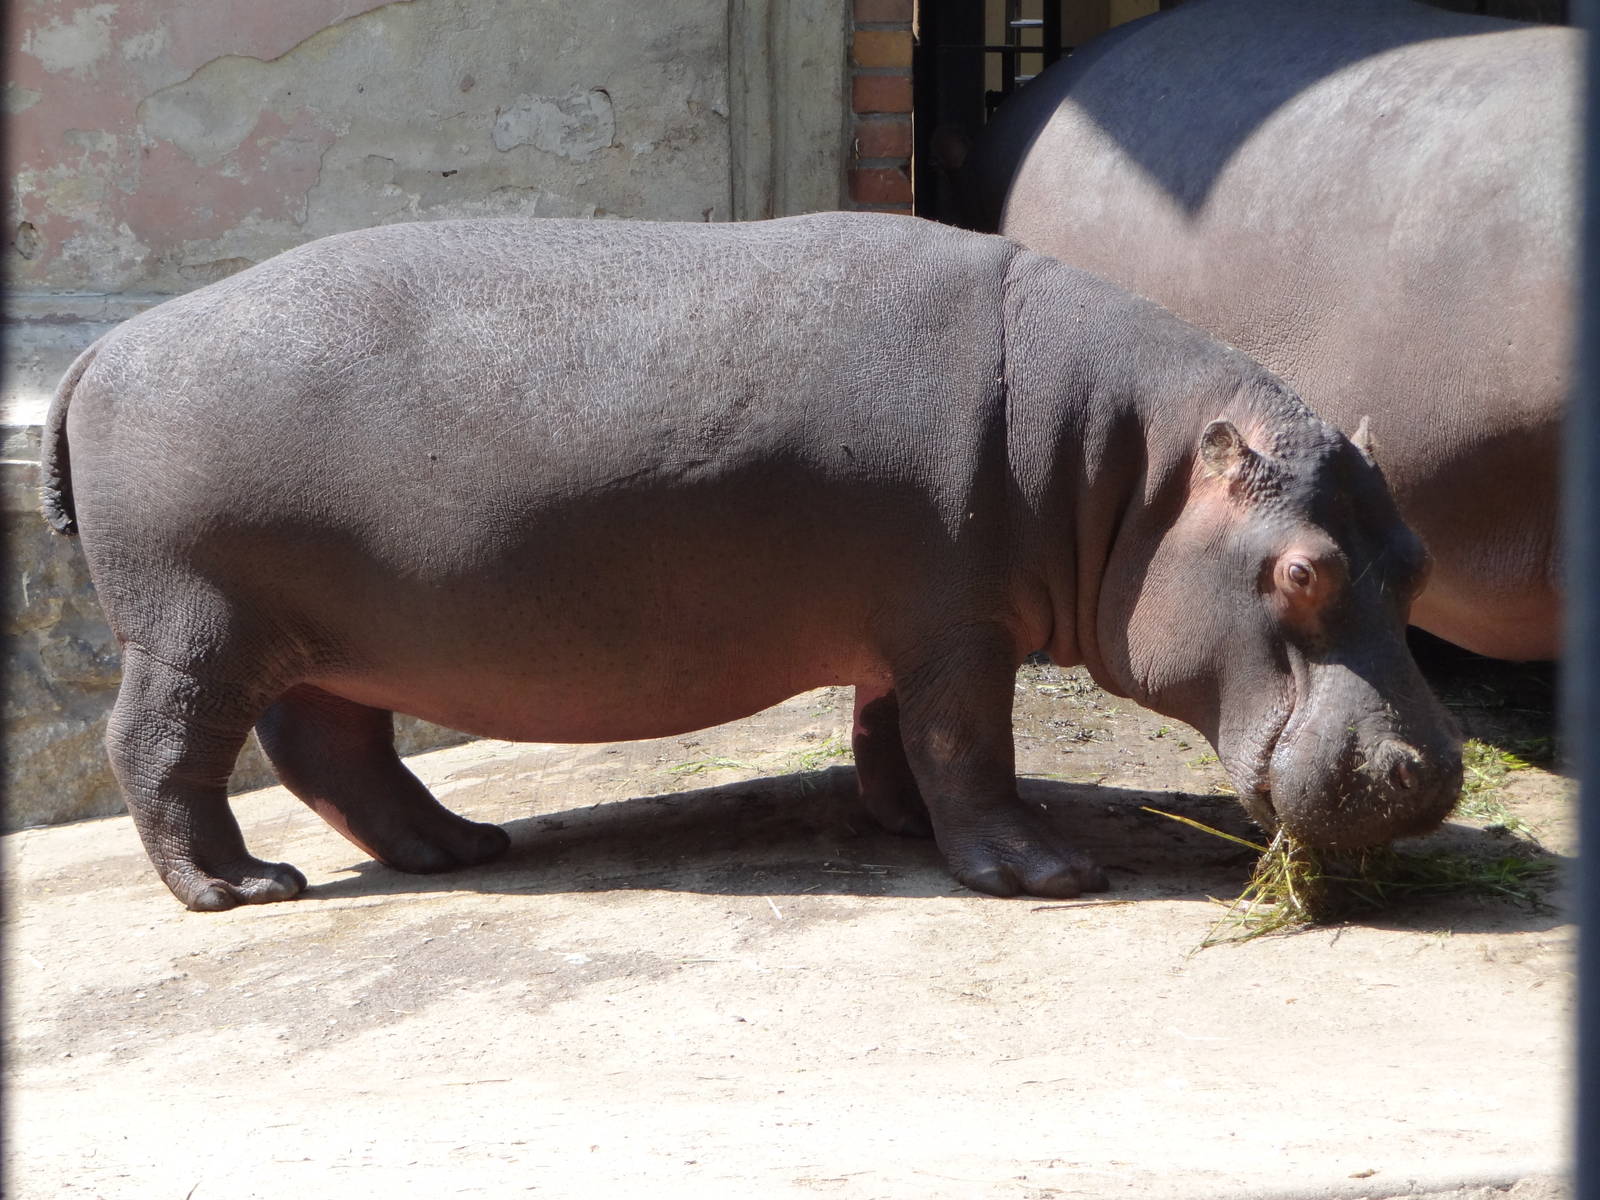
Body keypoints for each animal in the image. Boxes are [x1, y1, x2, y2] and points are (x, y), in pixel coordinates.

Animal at [41, 212, 1461, 911]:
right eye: (1301, 572)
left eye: (1419, 557)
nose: (1429, 773)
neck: (1131, 468)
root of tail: (103, 347)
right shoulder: (960, 629)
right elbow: (970, 745)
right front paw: (1048, 876)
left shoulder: (916, 623)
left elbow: (896, 733)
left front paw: (898, 825)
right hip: (198, 628)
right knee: (159, 748)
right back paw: (239, 890)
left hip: (325, 641)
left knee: (335, 751)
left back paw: (461, 849)